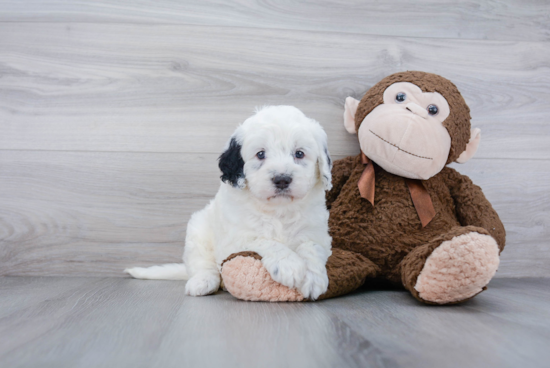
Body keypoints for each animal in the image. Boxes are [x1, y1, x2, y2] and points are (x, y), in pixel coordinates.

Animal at [126, 105, 332, 300]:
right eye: (260, 154)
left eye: (299, 153)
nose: (282, 179)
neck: (278, 210)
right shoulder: (235, 239)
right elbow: (263, 240)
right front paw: (289, 265)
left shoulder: (318, 232)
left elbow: (312, 247)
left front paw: (313, 278)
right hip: (198, 230)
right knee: (202, 264)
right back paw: (202, 282)